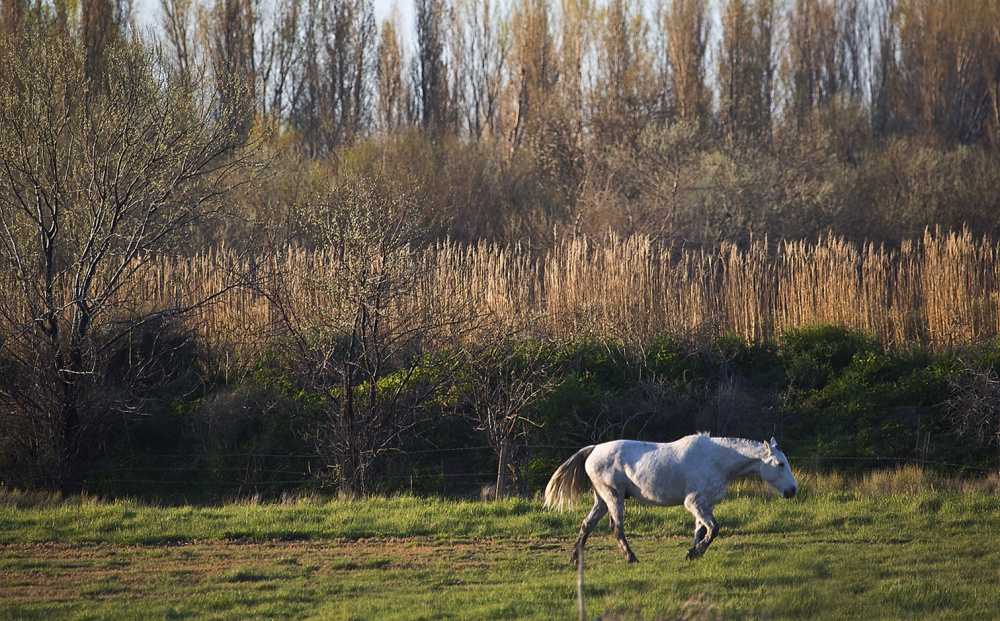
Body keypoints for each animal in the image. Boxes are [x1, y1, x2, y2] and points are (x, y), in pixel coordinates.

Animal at [544, 432, 800, 560]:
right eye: (780, 463)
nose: (792, 490)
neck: (717, 459)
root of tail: (594, 449)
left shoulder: (706, 504)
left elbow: (702, 530)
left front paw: (694, 553)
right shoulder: (694, 502)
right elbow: (714, 528)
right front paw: (695, 552)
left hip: (602, 500)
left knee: (587, 525)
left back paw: (575, 558)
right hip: (613, 497)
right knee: (617, 528)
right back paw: (631, 558)